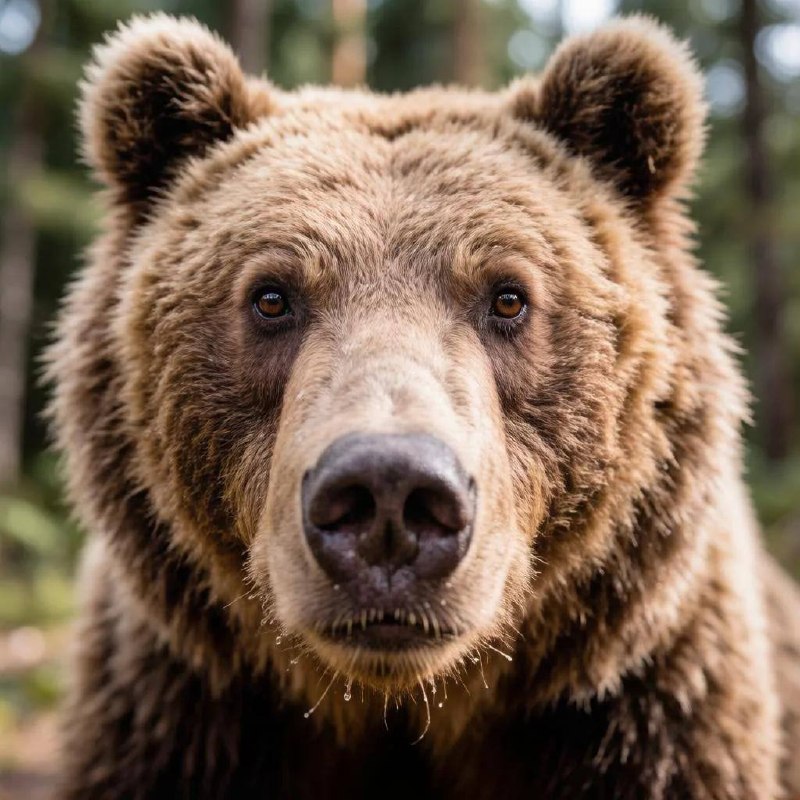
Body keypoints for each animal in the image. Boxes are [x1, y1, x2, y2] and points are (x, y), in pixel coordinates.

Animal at [46, 12, 800, 799]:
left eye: (508, 296)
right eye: (272, 297)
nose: (388, 493)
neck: (402, 704)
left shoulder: (648, 716)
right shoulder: (176, 718)